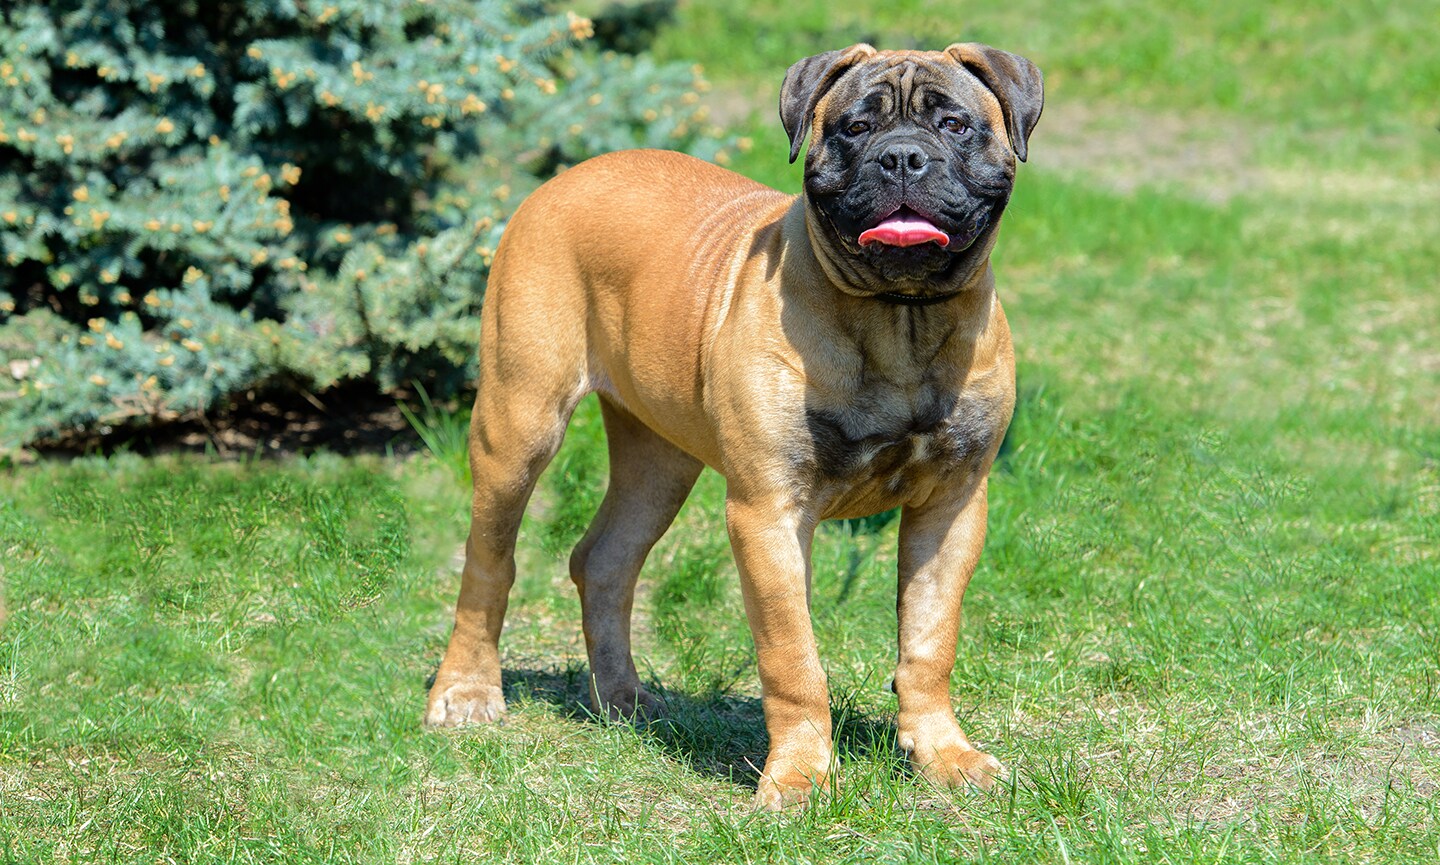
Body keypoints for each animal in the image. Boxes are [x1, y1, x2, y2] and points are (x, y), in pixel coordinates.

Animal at [420, 42, 1042, 811]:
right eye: (854, 127)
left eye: (954, 124)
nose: (901, 157)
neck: (899, 316)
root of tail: (565, 176)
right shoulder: (769, 512)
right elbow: (792, 656)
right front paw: (801, 776)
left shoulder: (952, 505)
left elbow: (930, 640)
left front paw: (944, 755)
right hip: (518, 423)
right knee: (489, 561)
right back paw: (467, 692)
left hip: (658, 460)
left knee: (604, 558)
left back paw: (623, 699)